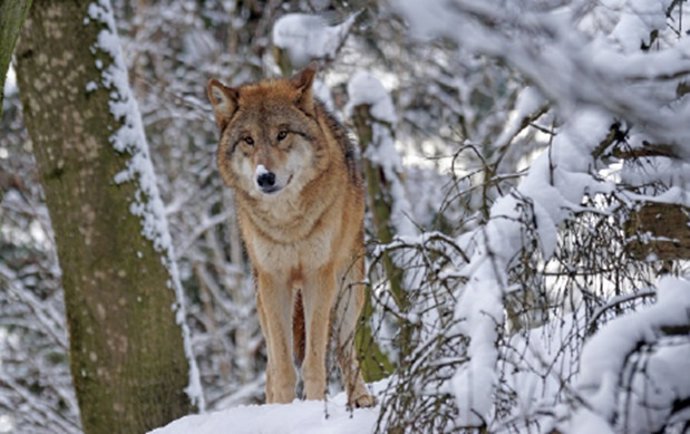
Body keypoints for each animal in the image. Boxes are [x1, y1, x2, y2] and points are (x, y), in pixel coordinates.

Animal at [207, 65, 375, 408]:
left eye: (282, 134)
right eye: (248, 140)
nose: (264, 177)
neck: (288, 224)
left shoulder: (317, 276)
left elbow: (313, 361)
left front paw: (314, 406)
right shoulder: (275, 281)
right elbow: (283, 367)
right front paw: (281, 411)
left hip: (349, 290)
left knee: (344, 350)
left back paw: (361, 399)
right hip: (262, 301)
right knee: (271, 366)